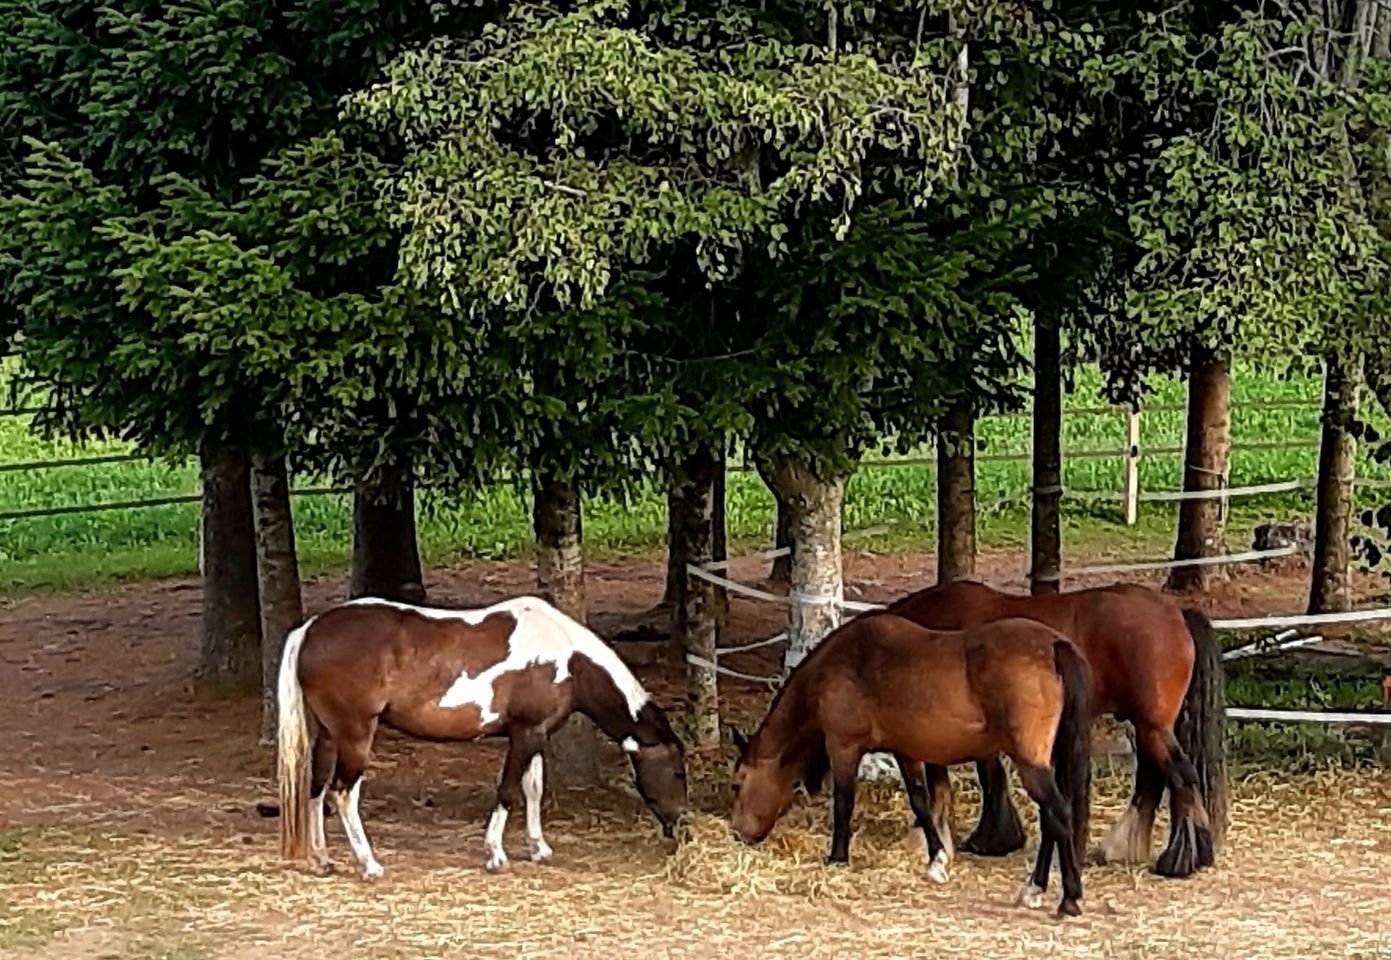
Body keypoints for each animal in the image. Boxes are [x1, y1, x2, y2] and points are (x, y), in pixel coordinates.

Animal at [276, 595, 688, 879]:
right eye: (677, 771)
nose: (682, 828)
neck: (568, 660)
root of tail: (309, 629)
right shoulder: (525, 734)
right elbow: (508, 791)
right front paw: (495, 855)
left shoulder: (534, 735)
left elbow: (533, 788)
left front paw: (539, 848)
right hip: (356, 736)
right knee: (343, 793)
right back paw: (369, 864)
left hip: (331, 735)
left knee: (316, 788)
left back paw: (322, 859)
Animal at [729, 612, 1093, 918]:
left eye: (737, 783)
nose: (738, 833)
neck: (845, 661)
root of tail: (1053, 645)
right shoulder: (906, 751)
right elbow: (921, 803)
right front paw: (937, 860)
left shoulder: (843, 748)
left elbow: (844, 804)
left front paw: (837, 857)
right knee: (1051, 819)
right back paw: (1034, 889)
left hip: (1030, 762)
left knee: (1058, 813)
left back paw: (1069, 898)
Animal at [887, 579, 1225, 879]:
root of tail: (1177, 613)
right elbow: (988, 775)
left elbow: (948, 783)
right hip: (1147, 725)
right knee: (1154, 777)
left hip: (1152, 726)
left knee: (1180, 776)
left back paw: (1180, 860)